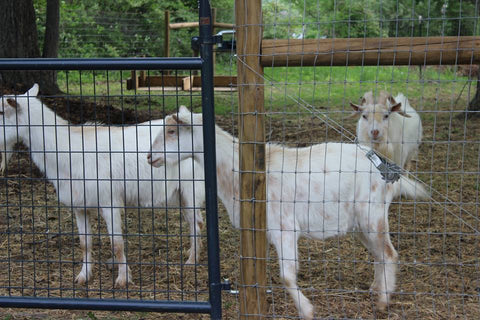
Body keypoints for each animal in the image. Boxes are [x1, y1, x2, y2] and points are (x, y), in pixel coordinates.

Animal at [0, 85, 204, 288]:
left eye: (2, 111)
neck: (69, 151)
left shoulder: (109, 201)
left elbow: (117, 243)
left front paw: (122, 279)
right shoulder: (79, 205)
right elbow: (85, 243)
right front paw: (83, 276)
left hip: (191, 188)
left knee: (196, 223)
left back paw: (191, 261)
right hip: (180, 193)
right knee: (194, 221)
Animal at [148, 106, 430, 318]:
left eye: (172, 131)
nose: (150, 157)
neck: (238, 173)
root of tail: (387, 169)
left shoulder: (284, 227)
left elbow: (286, 275)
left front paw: (307, 310)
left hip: (372, 214)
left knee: (390, 253)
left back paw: (383, 301)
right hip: (360, 222)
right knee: (379, 254)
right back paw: (376, 289)